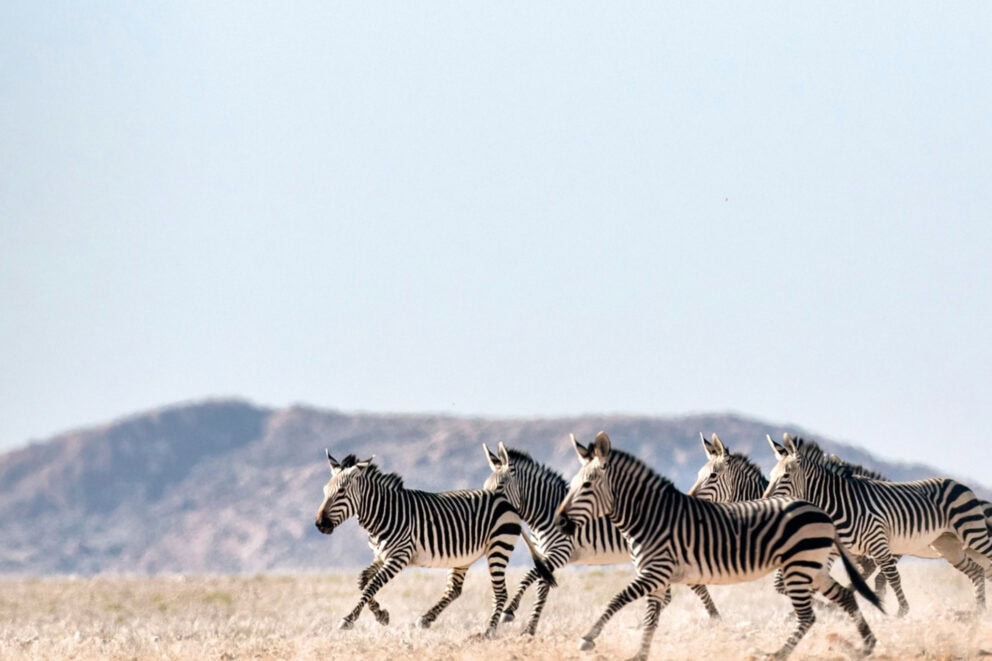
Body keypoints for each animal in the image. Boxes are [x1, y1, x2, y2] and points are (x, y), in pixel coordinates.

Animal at [314, 451, 556, 636]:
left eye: (341, 492)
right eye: (324, 492)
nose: (319, 524)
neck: (384, 513)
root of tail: (507, 502)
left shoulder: (399, 556)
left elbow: (372, 584)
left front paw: (349, 619)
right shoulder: (381, 556)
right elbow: (363, 581)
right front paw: (381, 615)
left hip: (499, 547)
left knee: (501, 593)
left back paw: (488, 632)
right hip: (464, 556)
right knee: (454, 590)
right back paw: (427, 619)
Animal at [481, 442, 721, 635]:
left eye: (500, 487)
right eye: (484, 488)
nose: (488, 508)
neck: (545, 511)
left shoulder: (561, 551)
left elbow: (529, 576)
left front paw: (510, 610)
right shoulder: (545, 555)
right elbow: (542, 588)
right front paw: (530, 629)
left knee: (693, 587)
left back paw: (714, 618)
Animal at [554, 431, 882, 661]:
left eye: (586, 485)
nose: (559, 521)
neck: (650, 516)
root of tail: (821, 511)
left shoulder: (655, 572)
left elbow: (616, 599)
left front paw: (588, 638)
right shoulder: (658, 579)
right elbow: (651, 620)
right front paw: (640, 655)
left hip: (799, 568)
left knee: (808, 616)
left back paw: (778, 654)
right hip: (812, 568)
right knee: (845, 597)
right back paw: (866, 645)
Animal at [763, 434, 992, 617]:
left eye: (785, 476)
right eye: (771, 477)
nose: (764, 501)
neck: (840, 504)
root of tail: (960, 484)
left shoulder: (879, 543)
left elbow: (891, 577)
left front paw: (901, 611)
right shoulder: (835, 549)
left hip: (973, 534)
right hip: (949, 546)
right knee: (977, 572)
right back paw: (979, 612)